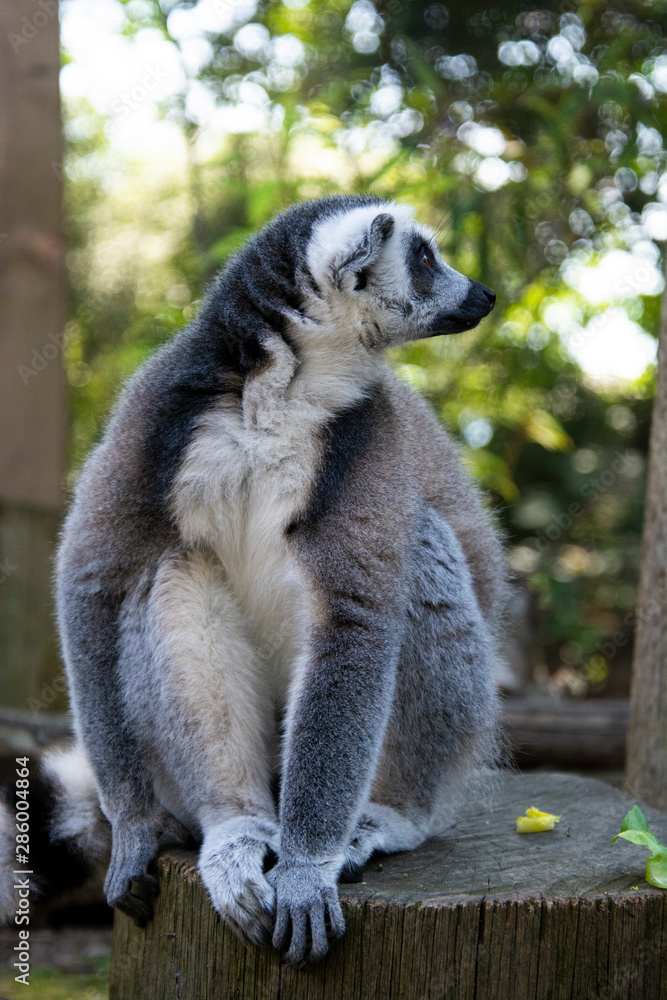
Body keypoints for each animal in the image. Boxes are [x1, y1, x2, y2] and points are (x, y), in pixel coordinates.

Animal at [0, 195, 505, 967]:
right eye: (424, 258)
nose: (483, 295)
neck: (285, 391)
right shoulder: (160, 407)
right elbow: (92, 576)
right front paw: (136, 825)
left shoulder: (369, 436)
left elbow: (354, 617)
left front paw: (304, 867)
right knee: (173, 570)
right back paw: (236, 826)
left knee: (420, 546)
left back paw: (392, 814)